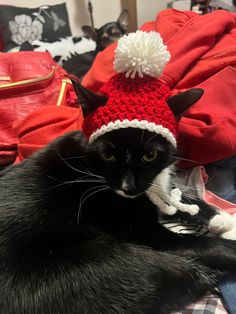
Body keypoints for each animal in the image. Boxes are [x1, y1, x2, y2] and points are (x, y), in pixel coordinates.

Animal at [0, 82, 236, 312]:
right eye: (107, 155)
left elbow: (183, 200)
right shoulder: (143, 232)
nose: (128, 188)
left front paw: (223, 219)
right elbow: (199, 244)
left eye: (150, 155)